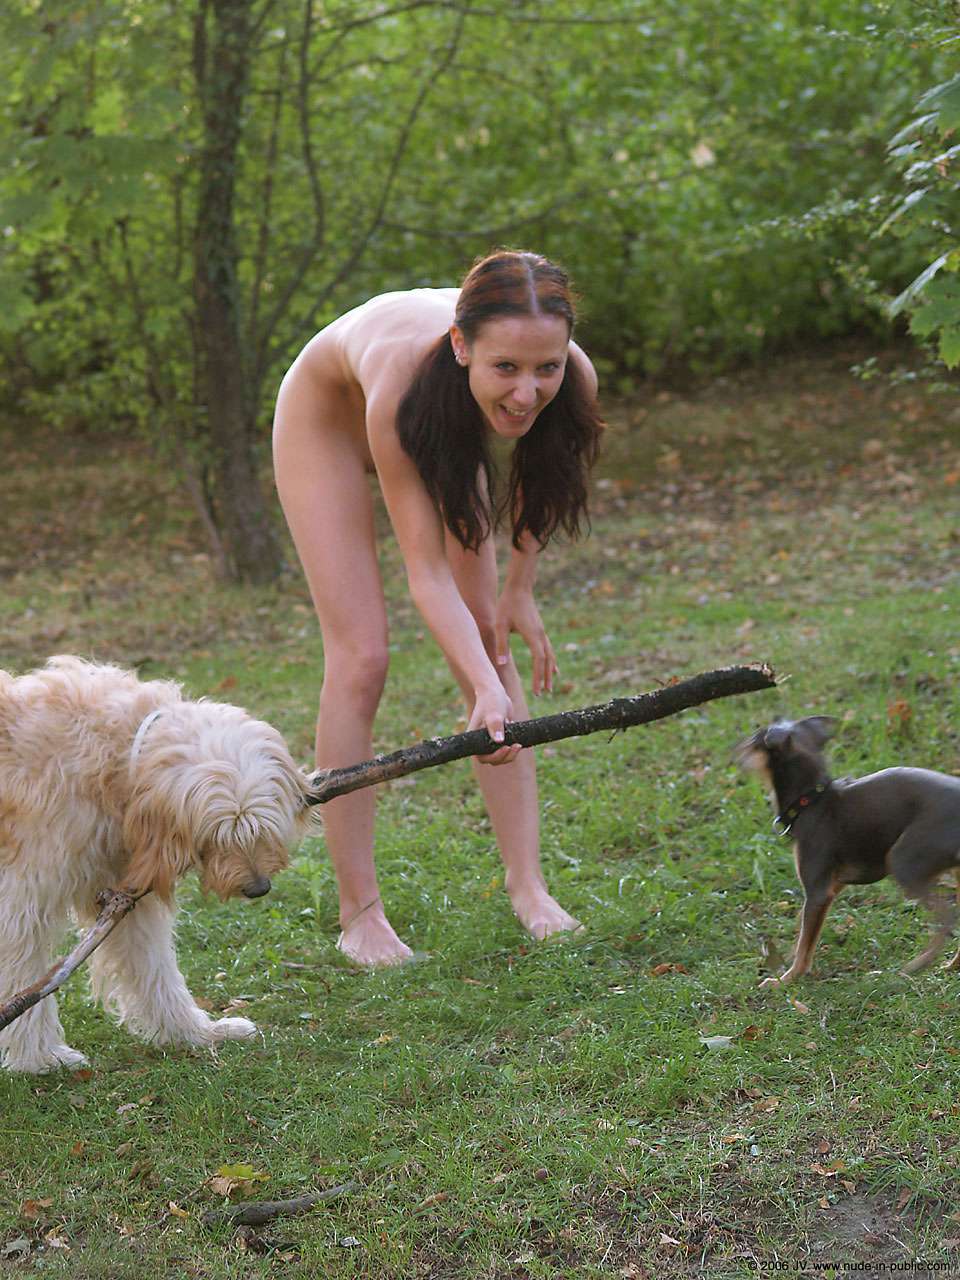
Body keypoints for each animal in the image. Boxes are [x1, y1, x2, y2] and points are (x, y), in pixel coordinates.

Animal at [0, 656, 317, 1073]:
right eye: (217, 835)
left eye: (259, 828)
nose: (258, 887)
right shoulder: (21, 904)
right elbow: (24, 976)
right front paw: (39, 1057)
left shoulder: (124, 900)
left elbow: (155, 968)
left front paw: (194, 1032)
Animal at [738, 716, 960, 985]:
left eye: (755, 740)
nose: (737, 750)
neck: (812, 800)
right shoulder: (834, 886)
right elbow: (804, 932)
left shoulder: (818, 892)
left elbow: (805, 947)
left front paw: (787, 980)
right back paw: (951, 966)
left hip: (904, 863)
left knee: (946, 920)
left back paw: (915, 967)